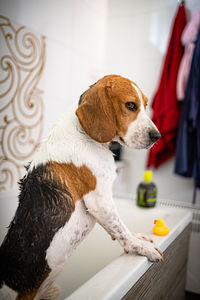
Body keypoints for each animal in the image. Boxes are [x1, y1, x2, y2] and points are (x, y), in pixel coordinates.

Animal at [0, 74, 162, 298]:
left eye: (145, 105)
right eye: (130, 105)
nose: (157, 137)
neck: (83, 132)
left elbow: (122, 228)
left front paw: (138, 237)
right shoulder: (101, 202)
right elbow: (121, 229)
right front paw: (140, 246)